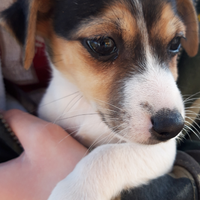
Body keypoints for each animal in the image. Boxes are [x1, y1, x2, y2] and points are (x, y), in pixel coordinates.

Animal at [0, 0, 198, 199]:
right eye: (104, 43)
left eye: (175, 42)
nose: (173, 127)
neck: (86, 108)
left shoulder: (162, 149)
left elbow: (107, 155)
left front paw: (73, 192)